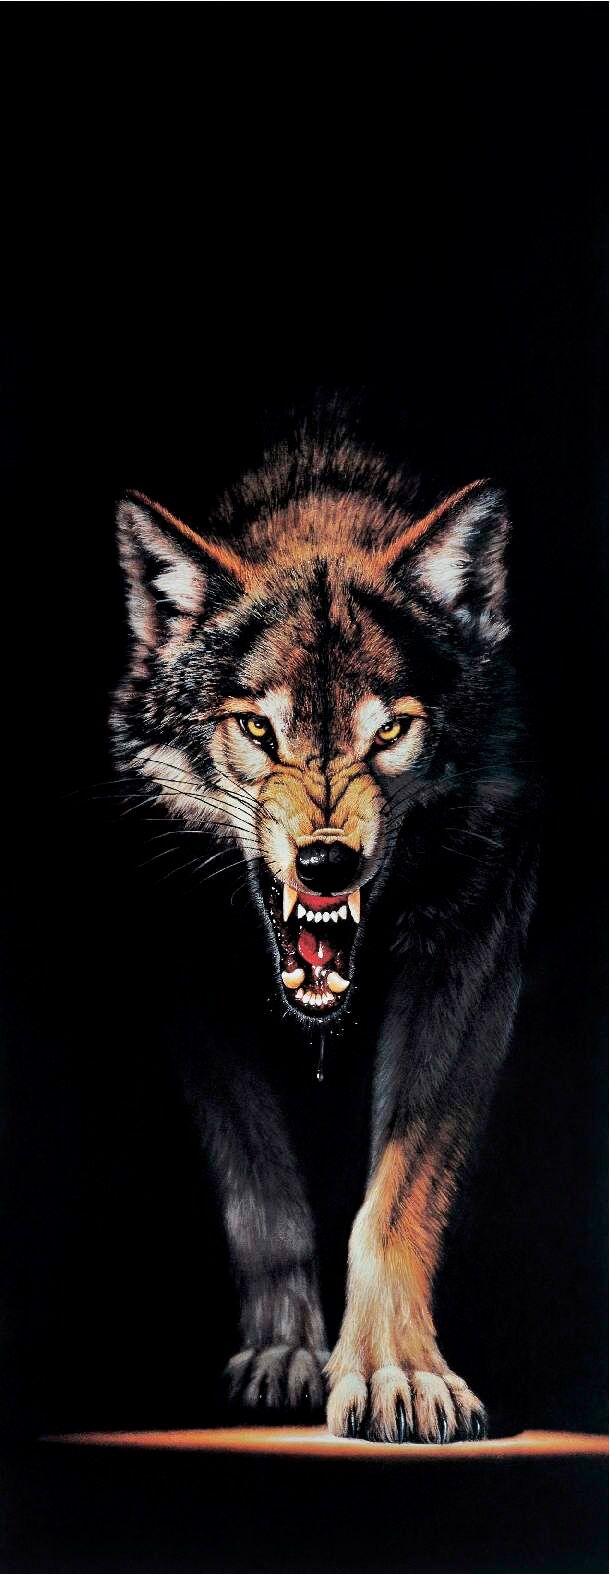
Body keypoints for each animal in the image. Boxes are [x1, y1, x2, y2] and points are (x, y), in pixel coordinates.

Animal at [111, 417, 536, 1443]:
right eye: (259, 732)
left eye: (390, 733)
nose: (327, 865)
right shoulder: (182, 970)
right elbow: (263, 1189)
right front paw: (287, 1356)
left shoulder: (478, 949)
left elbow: (398, 1196)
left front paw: (395, 1374)